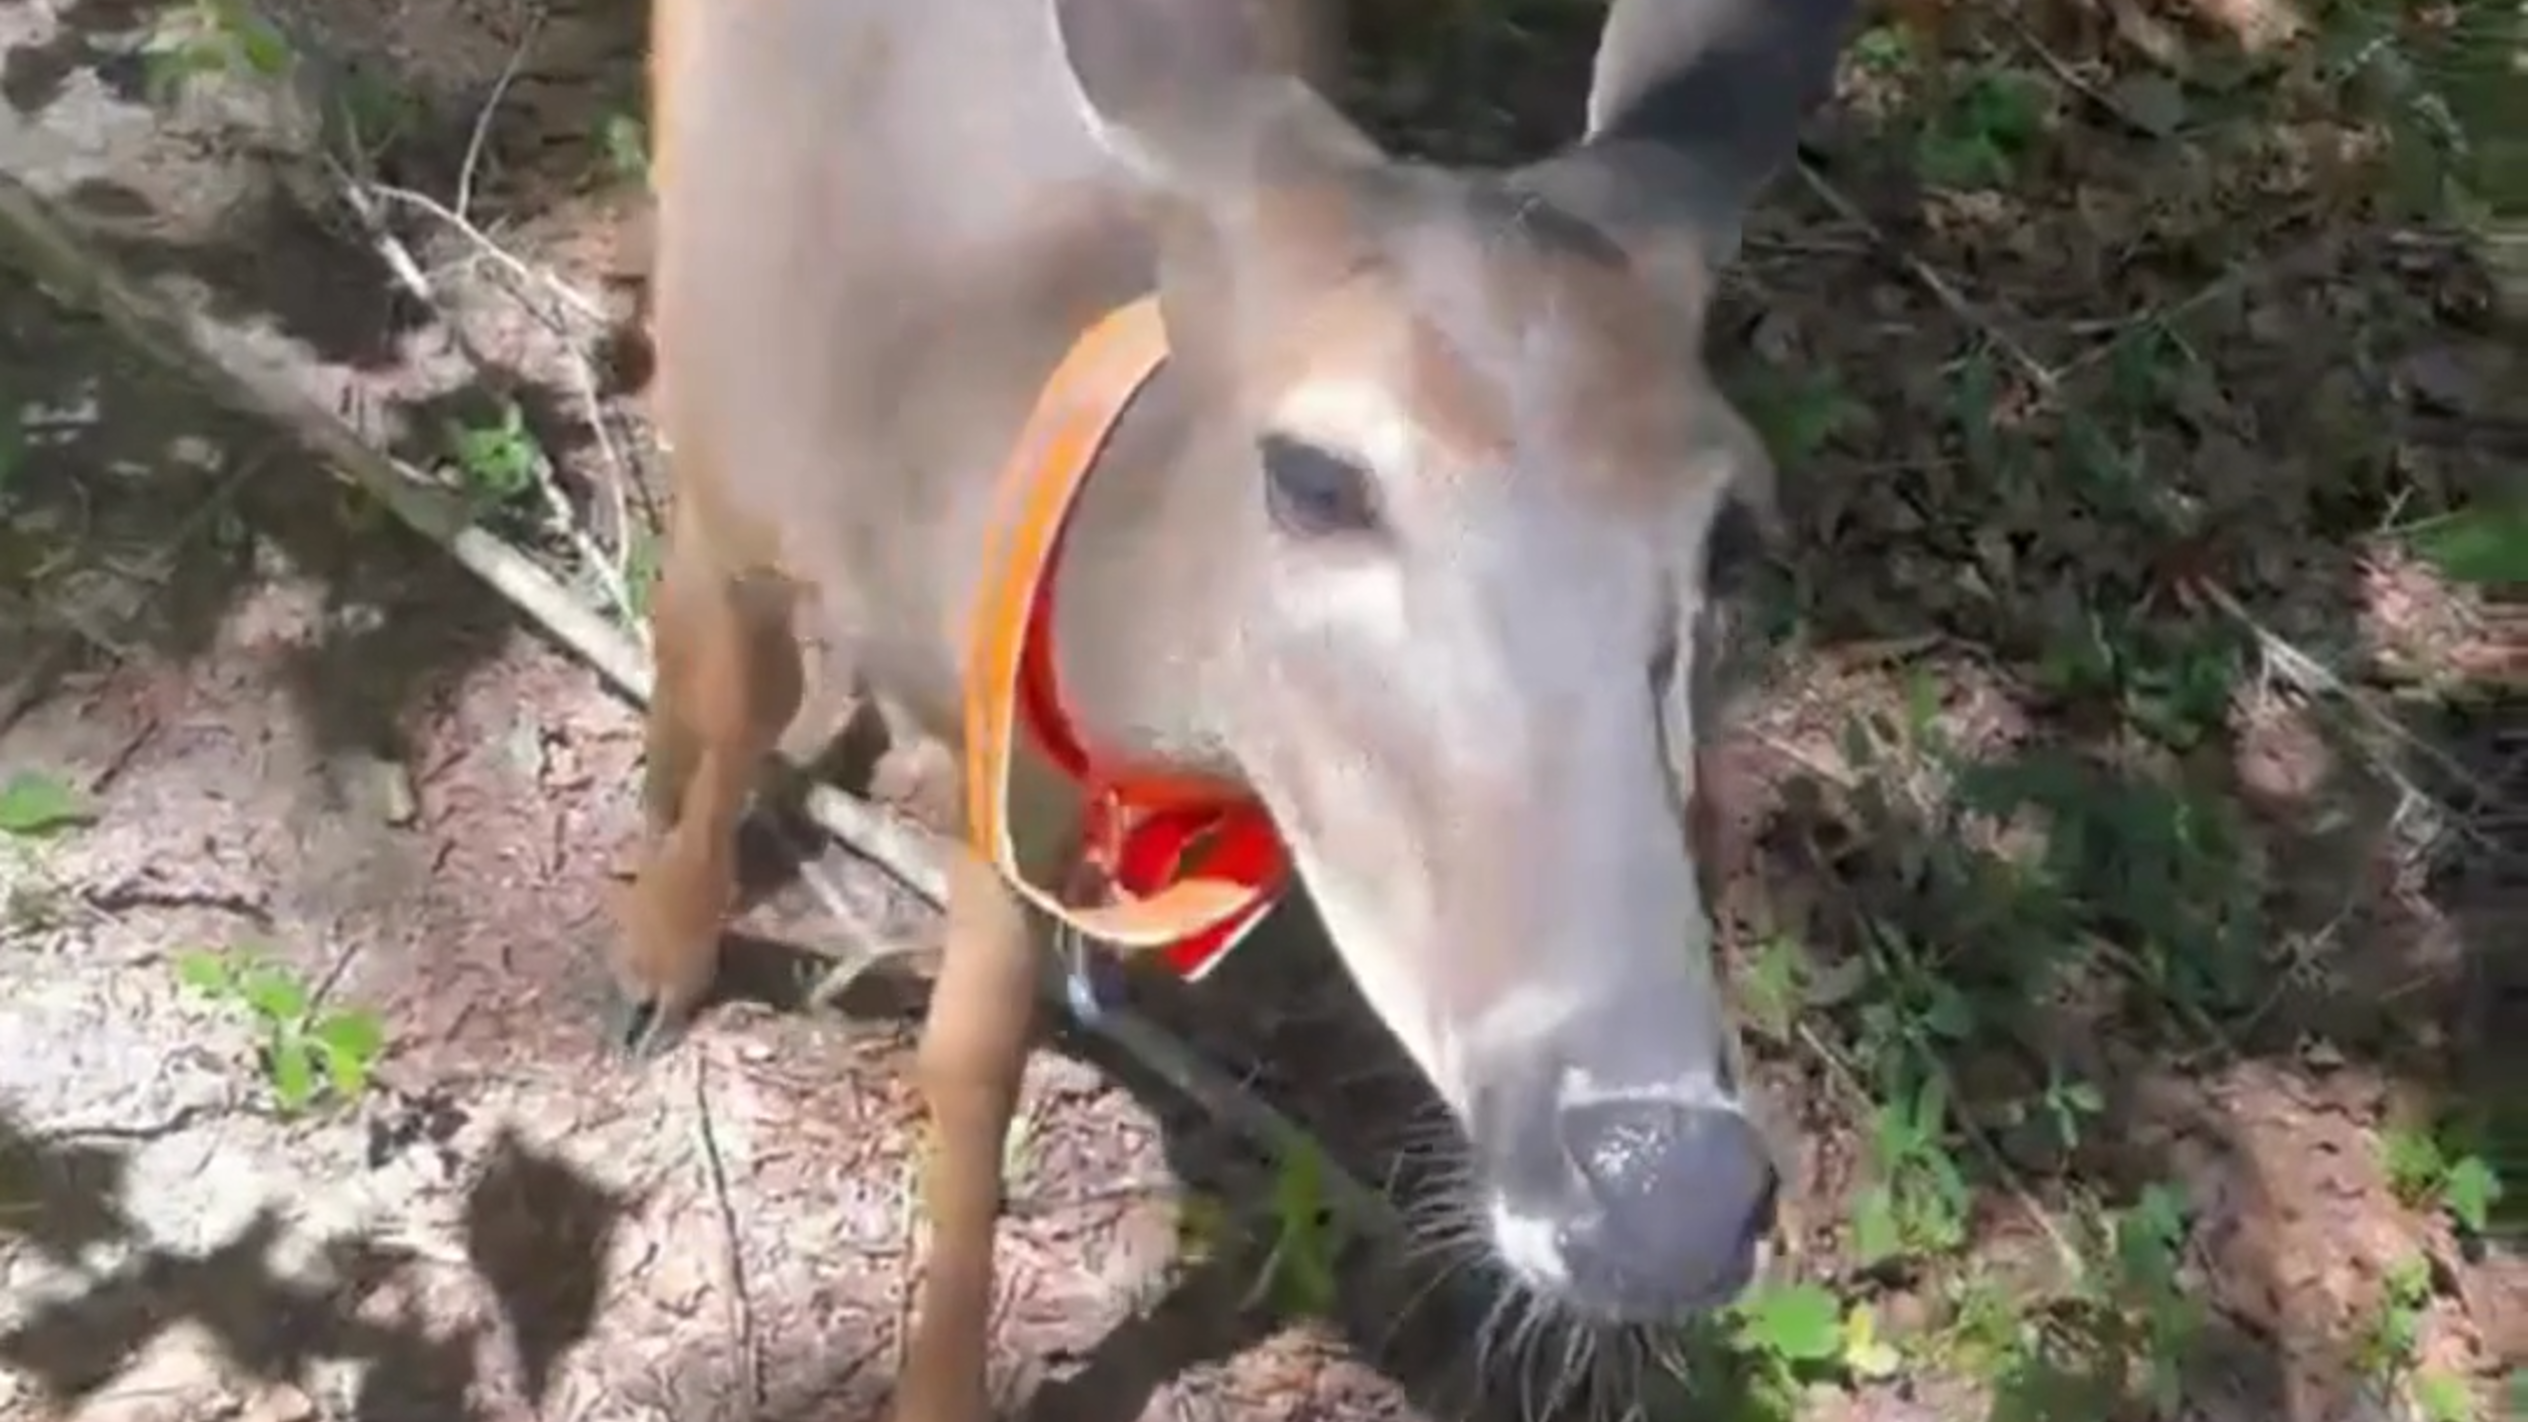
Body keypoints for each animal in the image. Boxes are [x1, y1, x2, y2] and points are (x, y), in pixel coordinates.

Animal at [620, 0, 1857, 1416]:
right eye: (1314, 479)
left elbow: (979, 1043)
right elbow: (760, 714)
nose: (1664, 1190)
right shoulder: (757, 472)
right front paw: (661, 950)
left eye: (1732, 531)